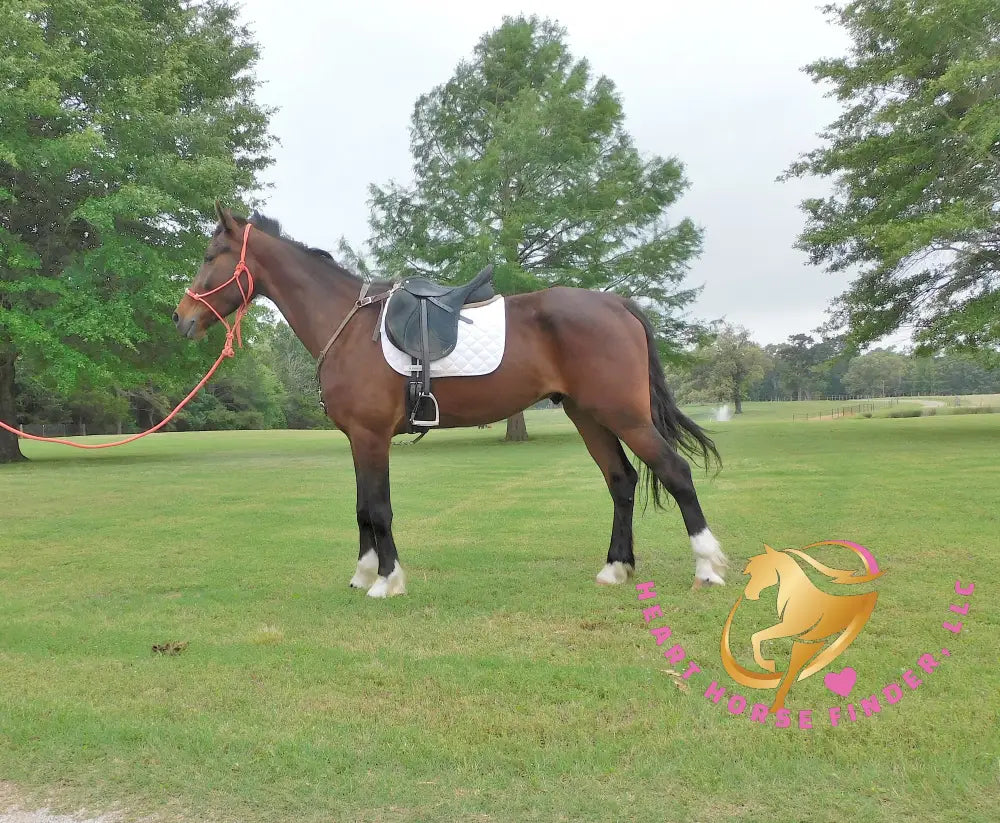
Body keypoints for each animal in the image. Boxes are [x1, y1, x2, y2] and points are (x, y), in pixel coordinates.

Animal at [171, 203, 727, 598]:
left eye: (209, 257)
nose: (181, 318)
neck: (348, 325)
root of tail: (617, 304)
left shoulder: (371, 436)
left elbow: (379, 508)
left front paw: (387, 581)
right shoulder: (357, 438)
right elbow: (362, 507)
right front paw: (364, 572)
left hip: (624, 415)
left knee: (675, 473)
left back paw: (707, 567)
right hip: (588, 416)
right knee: (621, 481)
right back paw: (615, 569)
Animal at [721, 544, 882, 711]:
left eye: (760, 569)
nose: (748, 594)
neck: (799, 596)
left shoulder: (791, 628)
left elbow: (757, 636)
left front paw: (767, 664)